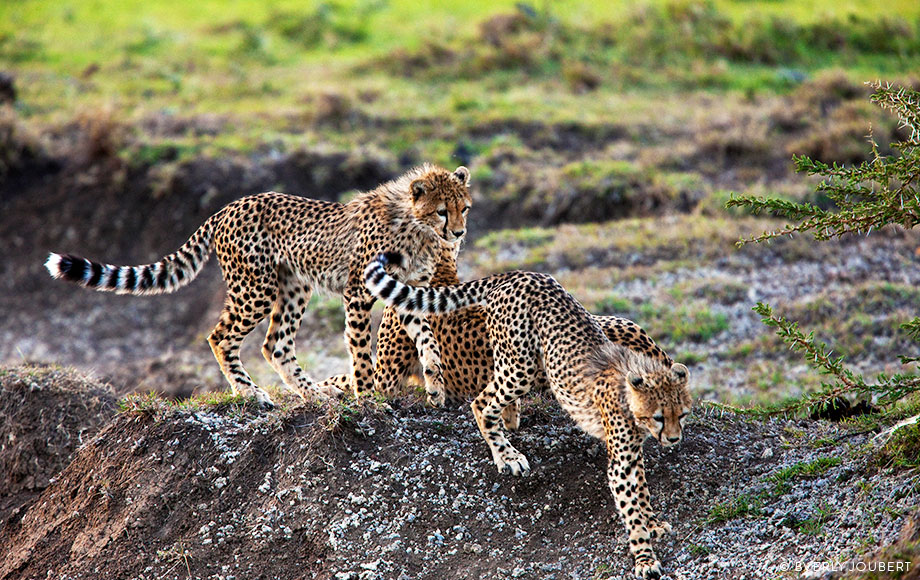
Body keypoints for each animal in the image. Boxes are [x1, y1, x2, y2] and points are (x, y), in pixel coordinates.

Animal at [41, 163, 474, 408]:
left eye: (464, 208)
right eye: (441, 211)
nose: (459, 233)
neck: (414, 226)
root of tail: (228, 206)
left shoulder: (409, 291)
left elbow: (428, 342)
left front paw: (436, 386)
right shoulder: (358, 291)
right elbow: (360, 353)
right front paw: (369, 399)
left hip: (293, 287)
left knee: (275, 345)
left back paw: (315, 394)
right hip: (256, 289)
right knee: (220, 337)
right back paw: (250, 393)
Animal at [364, 255, 688, 580]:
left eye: (682, 414)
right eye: (659, 417)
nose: (674, 439)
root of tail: (519, 274)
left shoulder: (633, 452)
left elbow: (641, 493)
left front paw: (653, 525)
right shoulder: (622, 461)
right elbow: (631, 506)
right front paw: (645, 558)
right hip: (521, 364)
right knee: (481, 403)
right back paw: (507, 455)